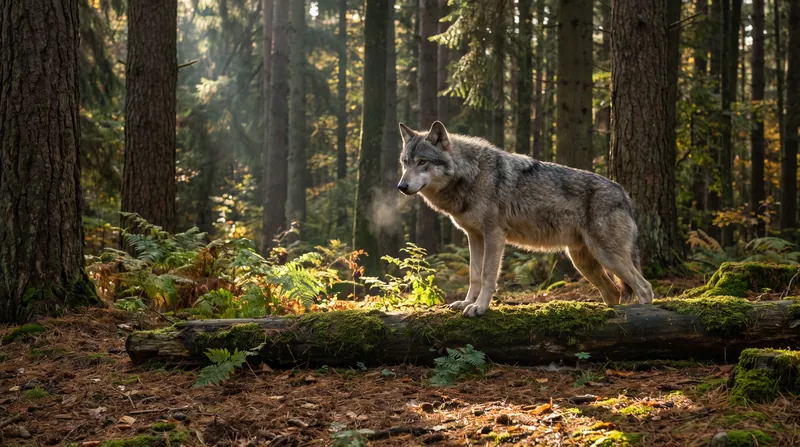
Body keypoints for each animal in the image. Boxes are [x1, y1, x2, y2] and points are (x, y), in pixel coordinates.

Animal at [396, 121, 654, 317]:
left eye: (422, 162)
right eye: (405, 162)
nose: (401, 187)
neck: (471, 175)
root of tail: (624, 194)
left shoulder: (494, 235)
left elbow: (488, 275)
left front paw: (479, 307)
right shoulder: (474, 237)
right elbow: (474, 275)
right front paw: (467, 302)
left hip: (607, 257)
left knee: (645, 287)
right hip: (583, 262)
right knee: (614, 292)